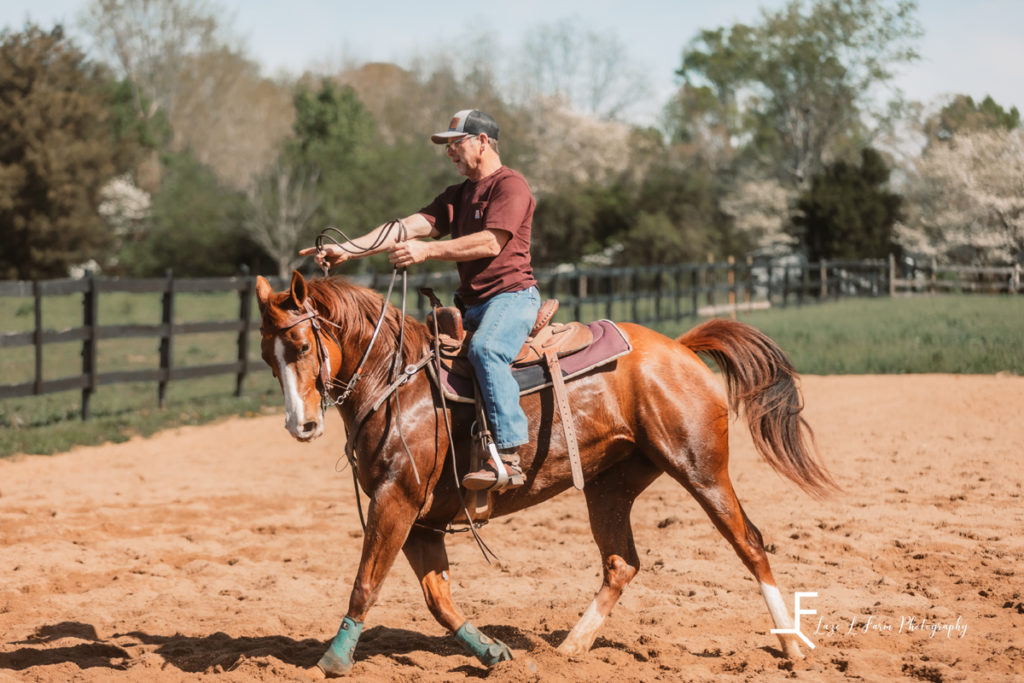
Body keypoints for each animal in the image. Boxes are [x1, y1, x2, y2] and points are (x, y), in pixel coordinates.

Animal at [253, 272, 831, 679]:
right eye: (266, 356)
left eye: (301, 347)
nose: (301, 425)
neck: (398, 383)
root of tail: (681, 348)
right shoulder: (421, 518)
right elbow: (439, 599)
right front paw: (491, 651)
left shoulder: (396, 499)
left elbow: (365, 583)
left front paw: (332, 659)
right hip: (610, 486)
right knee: (621, 563)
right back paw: (571, 648)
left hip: (700, 468)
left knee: (749, 543)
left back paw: (791, 644)